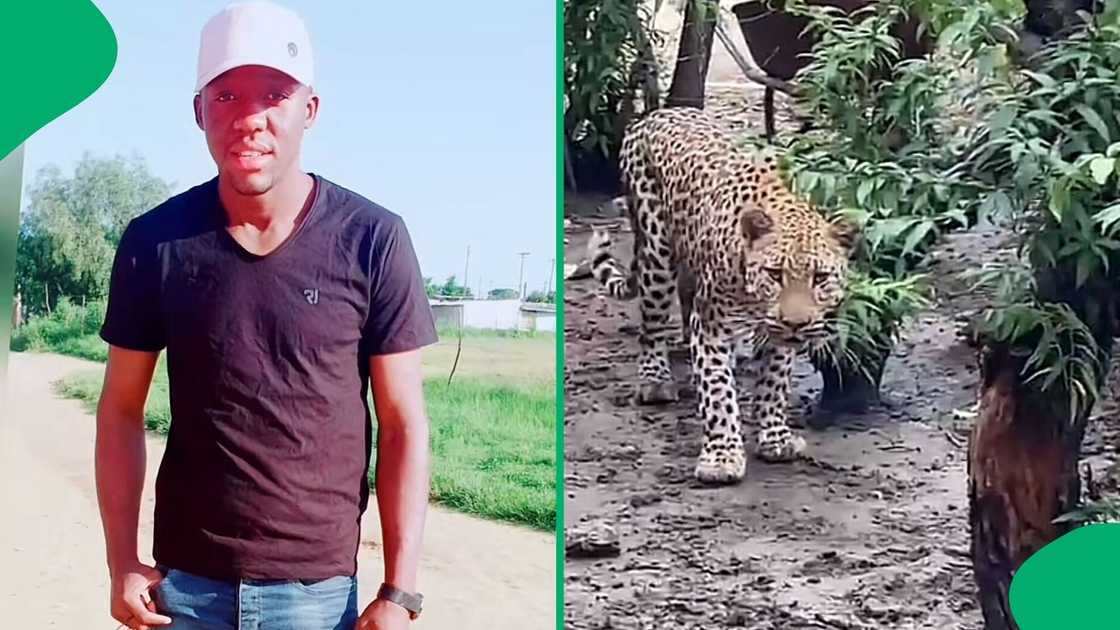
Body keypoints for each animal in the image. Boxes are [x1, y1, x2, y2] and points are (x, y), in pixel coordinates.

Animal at [588, 107, 858, 485]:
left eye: (820, 278)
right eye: (775, 274)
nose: (795, 323)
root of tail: (654, 114)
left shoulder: (778, 335)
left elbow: (775, 382)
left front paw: (775, 438)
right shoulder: (712, 323)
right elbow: (717, 393)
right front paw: (722, 458)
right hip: (656, 251)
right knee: (652, 323)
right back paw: (655, 381)